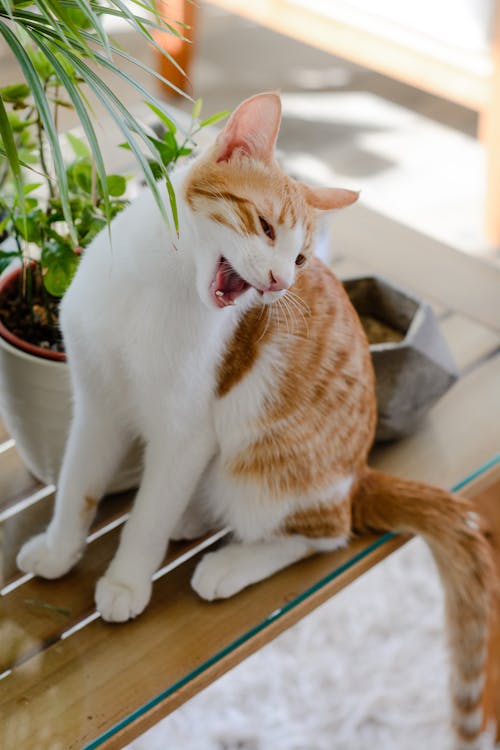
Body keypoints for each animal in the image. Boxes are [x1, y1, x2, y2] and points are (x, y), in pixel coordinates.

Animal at [16, 91, 492, 748]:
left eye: (301, 256)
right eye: (266, 228)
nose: (281, 281)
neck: (154, 287)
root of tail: (360, 474)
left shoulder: (186, 430)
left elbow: (144, 521)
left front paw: (127, 580)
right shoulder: (96, 401)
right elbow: (78, 488)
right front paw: (61, 551)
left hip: (262, 466)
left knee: (323, 533)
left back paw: (230, 562)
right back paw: (191, 519)